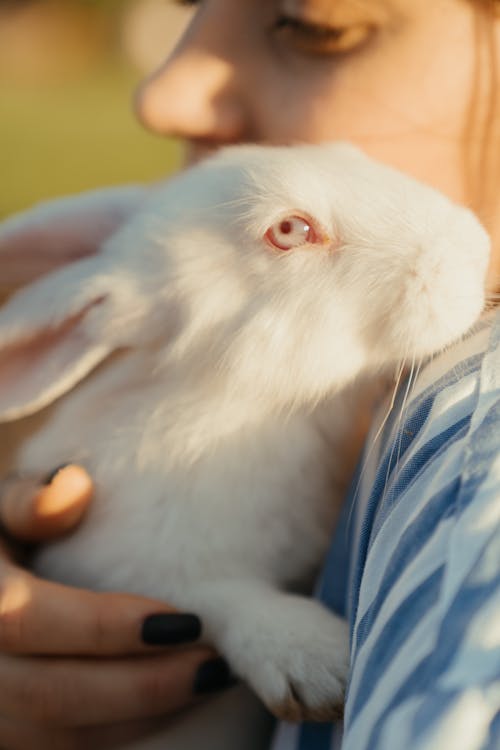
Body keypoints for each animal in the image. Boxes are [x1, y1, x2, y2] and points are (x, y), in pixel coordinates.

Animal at [0, 144, 488, 748]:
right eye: (290, 230)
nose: (474, 250)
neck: (251, 403)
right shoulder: (119, 568)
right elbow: (215, 599)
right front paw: (315, 661)